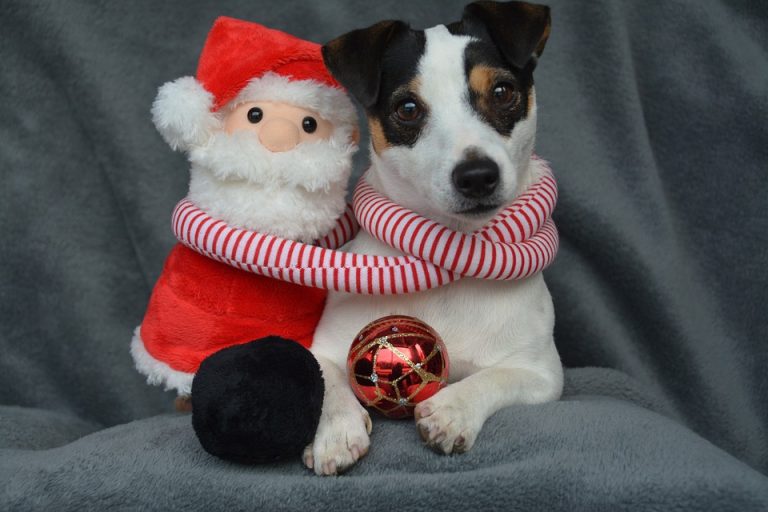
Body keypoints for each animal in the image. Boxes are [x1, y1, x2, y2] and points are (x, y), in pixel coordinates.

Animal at [304, 0, 560, 476]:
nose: (476, 175)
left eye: (502, 92)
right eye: (407, 108)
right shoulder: (324, 348)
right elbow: (328, 381)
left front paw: (451, 409)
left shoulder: (541, 373)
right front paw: (335, 432)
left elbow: (495, 377)